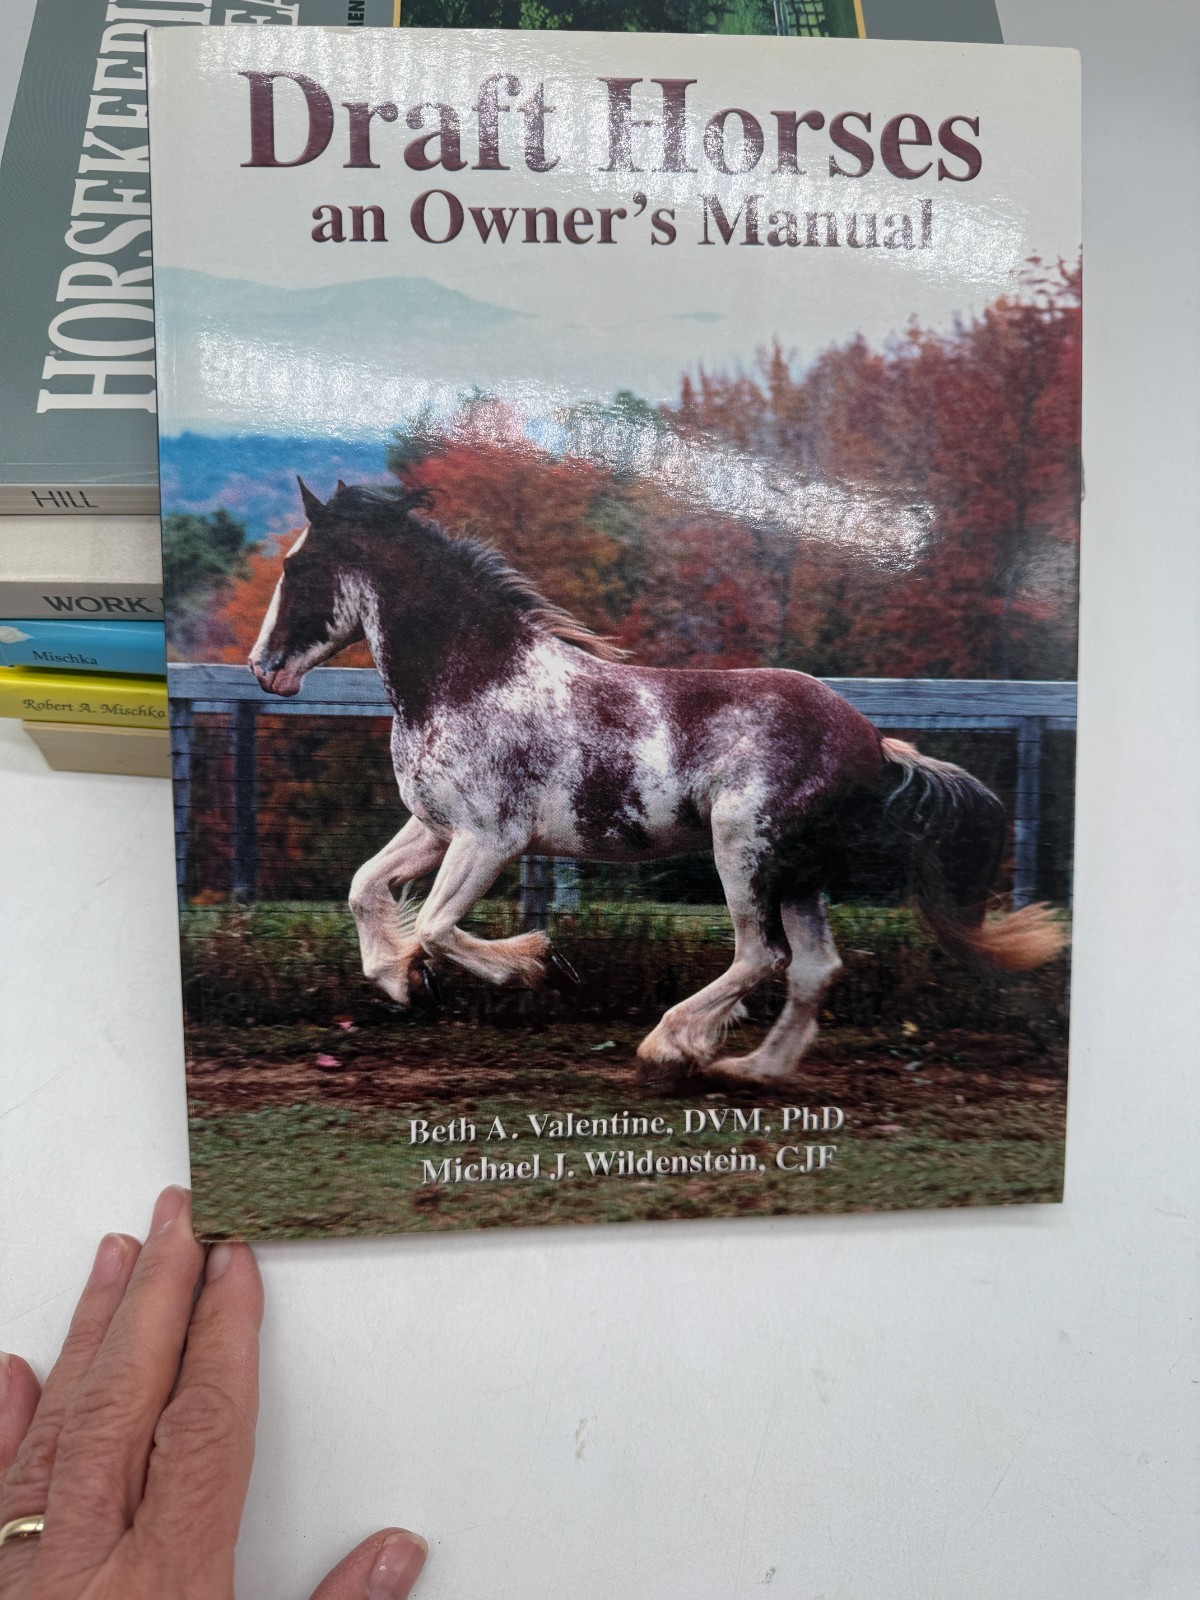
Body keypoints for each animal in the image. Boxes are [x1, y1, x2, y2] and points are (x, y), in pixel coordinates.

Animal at [249, 478, 1063, 1088]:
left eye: (297, 568)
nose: (264, 669)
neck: (471, 680)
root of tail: (874, 742)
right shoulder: (436, 826)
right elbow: (365, 886)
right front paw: (396, 979)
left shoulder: (490, 838)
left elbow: (438, 926)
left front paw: (532, 966)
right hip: (795, 874)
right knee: (812, 969)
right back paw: (752, 1070)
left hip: (743, 852)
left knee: (761, 956)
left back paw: (671, 1047)